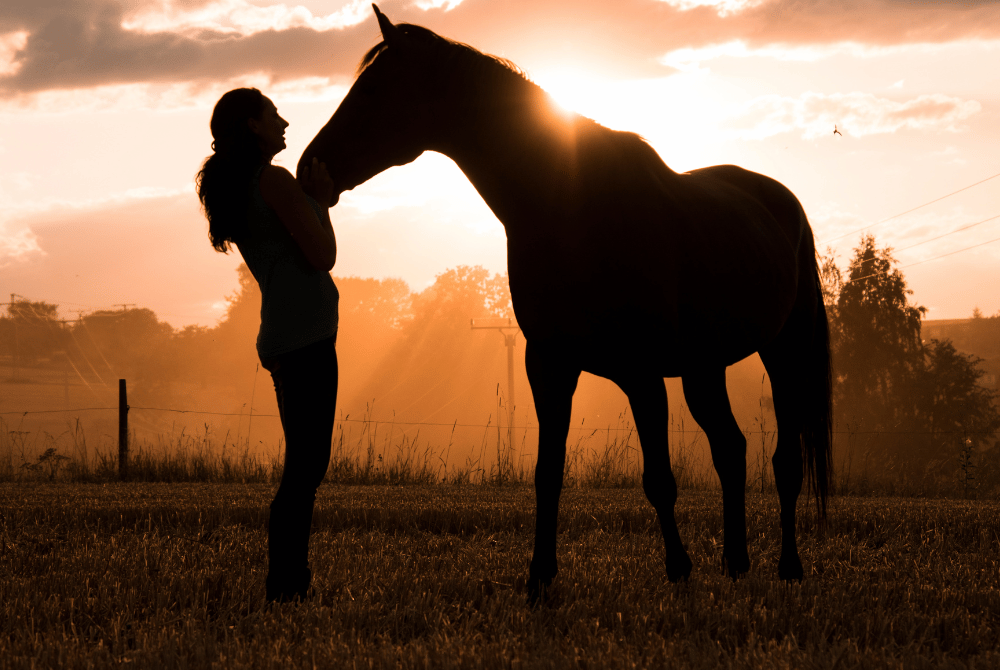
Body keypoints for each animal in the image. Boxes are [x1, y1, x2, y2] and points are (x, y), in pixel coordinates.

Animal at [300, 5, 832, 604]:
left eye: (374, 90)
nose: (308, 166)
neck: (571, 207)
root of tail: (781, 201)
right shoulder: (549, 365)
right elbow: (547, 473)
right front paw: (539, 577)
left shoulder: (641, 372)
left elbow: (659, 478)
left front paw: (678, 569)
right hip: (704, 368)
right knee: (732, 450)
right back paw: (736, 562)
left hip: (785, 353)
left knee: (785, 461)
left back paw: (788, 566)